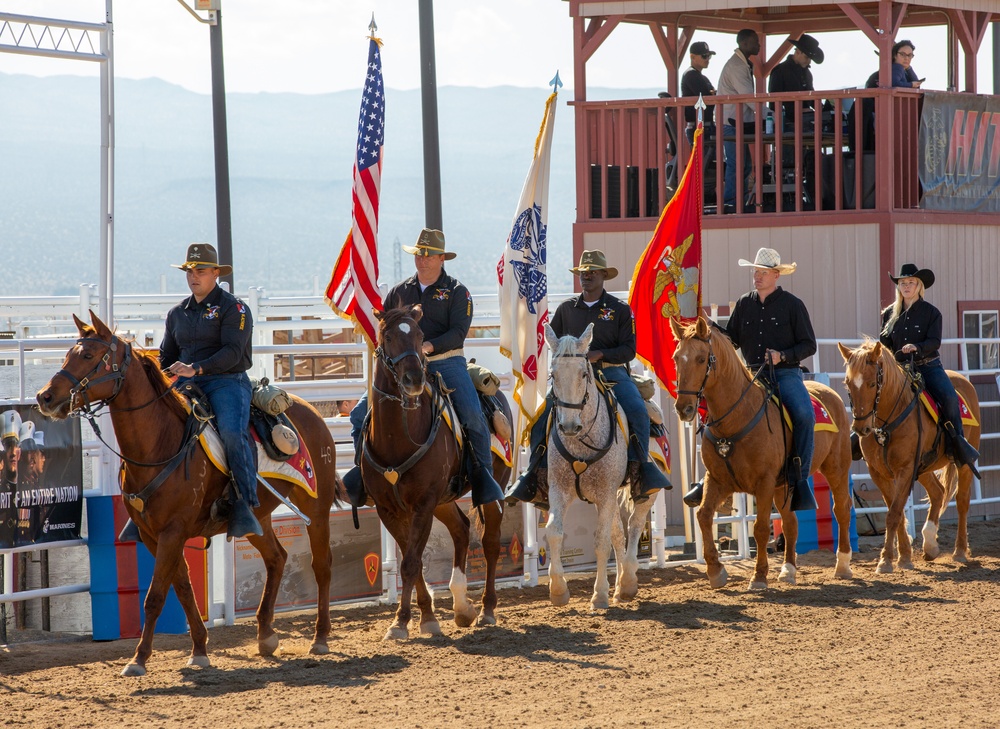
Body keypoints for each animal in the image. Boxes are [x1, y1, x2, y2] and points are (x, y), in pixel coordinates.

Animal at [36, 310, 344, 672]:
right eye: (67, 354)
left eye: (87, 356)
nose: (44, 397)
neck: (160, 443)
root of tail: (311, 411)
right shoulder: (153, 534)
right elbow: (182, 587)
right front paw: (198, 649)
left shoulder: (173, 530)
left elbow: (155, 595)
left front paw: (139, 658)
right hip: (256, 516)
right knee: (276, 558)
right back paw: (266, 636)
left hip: (315, 506)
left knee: (322, 565)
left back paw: (320, 638)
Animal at [362, 304, 512, 640]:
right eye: (387, 336)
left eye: (420, 336)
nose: (414, 379)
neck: (398, 436)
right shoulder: (387, 508)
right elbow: (412, 561)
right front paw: (425, 617)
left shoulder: (423, 504)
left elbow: (410, 562)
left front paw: (402, 622)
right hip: (444, 501)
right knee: (461, 529)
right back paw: (462, 607)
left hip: (492, 488)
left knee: (491, 542)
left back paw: (487, 609)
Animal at [544, 324, 652, 608]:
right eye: (552, 375)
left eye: (584, 374)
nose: (569, 426)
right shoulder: (559, 489)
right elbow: (554, 533)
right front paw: (558, 590)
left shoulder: (605, 493)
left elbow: (601, 541)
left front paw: (599, 594)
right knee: (618, 533)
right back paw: (620, 587)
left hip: (645, 492)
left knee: (635, 525)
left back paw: (628, 581)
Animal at [672, 316, 852, 588]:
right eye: (676, 358)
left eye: (701, 359)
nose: (684, 408)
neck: (736, 417)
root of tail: (831, 394)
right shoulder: (718, 480)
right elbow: (703, 515)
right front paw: (715, 571)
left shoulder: (764, 482)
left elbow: (759, 528)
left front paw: (758, 576)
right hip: (785, 484)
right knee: (790, 522)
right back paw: (788, 569)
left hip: (836, 469)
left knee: (841, 509)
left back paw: (842, 565)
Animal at [836, 338, 976, 572]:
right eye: (848, 383)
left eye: (872, 384)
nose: (861, 428)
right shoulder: (878, 472)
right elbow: (898, 512)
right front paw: (903, 557)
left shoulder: (905, 470)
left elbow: (893, 513)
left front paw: (885, 560)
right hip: (924, 467)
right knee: (937, 493)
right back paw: (930, 545)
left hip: (963, 463)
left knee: (962, 500)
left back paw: (959, 551)